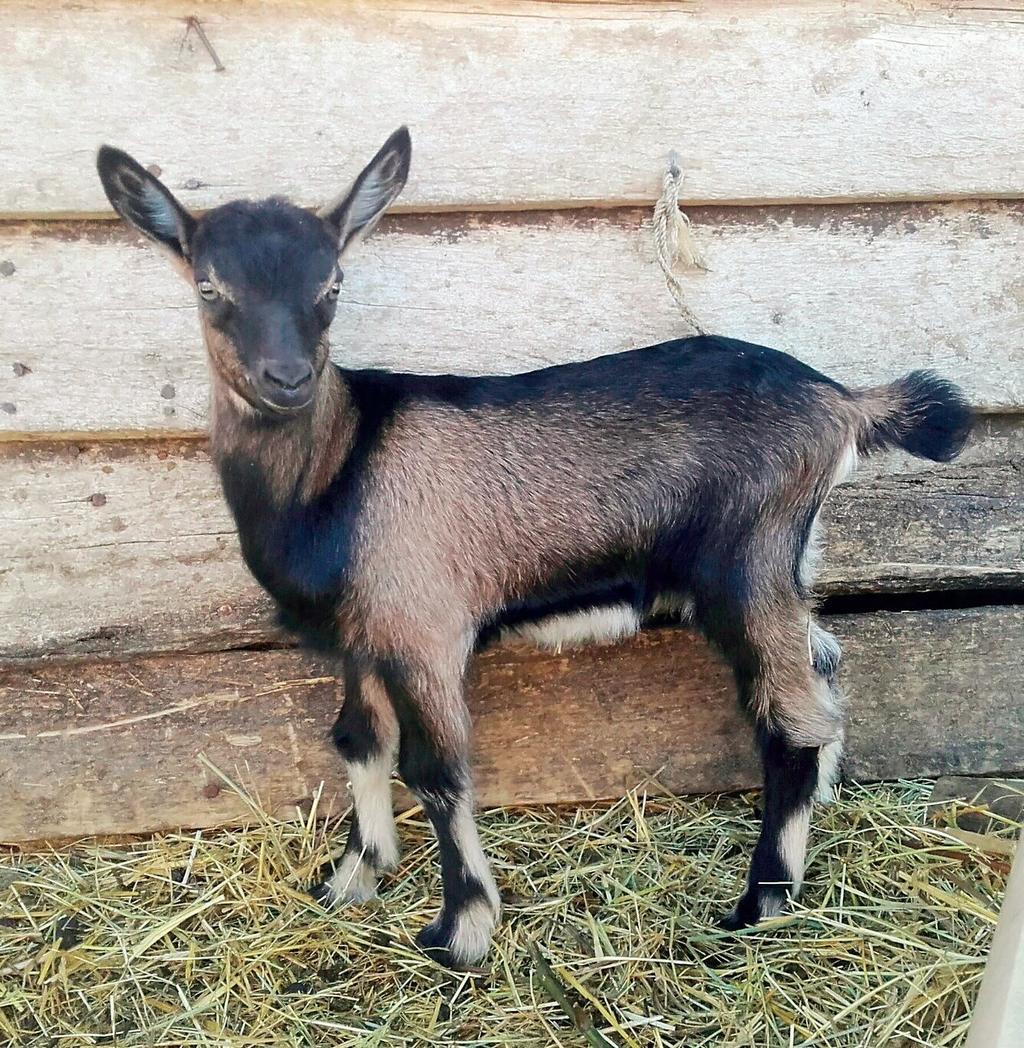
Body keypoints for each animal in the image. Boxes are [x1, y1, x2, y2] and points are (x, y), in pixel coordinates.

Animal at [100, 133, 972, 972]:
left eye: (332, 285)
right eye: (209, 288)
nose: (286, 379)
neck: (338, 467)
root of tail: (841, 404)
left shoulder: (425, 632)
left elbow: (438, 772)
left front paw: (461, 931)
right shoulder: (366, 638)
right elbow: (358, 740)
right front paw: (352, 878)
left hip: (745, 564)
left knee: (789, 724)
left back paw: (761, 903)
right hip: (787, 565)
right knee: (822, 662)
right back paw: (820, 806)